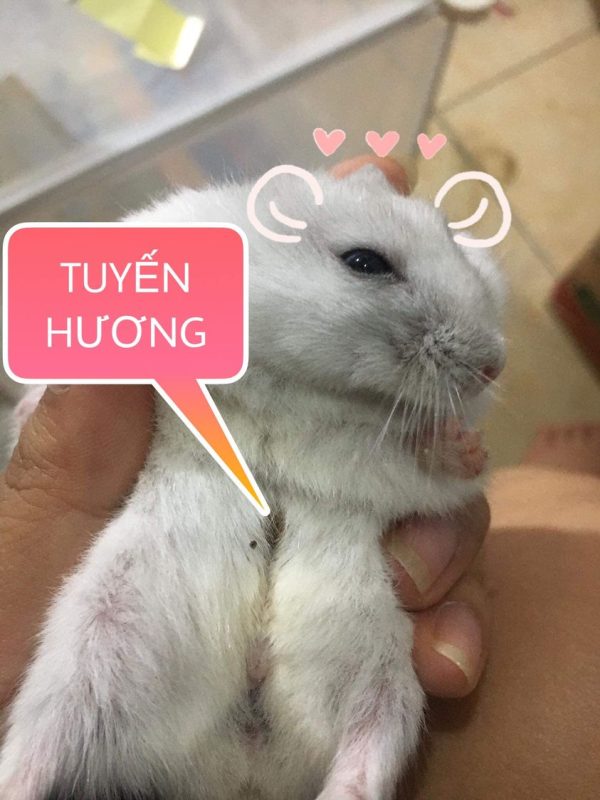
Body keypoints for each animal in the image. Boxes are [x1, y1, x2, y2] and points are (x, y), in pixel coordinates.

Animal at [0, 163, 505, 800]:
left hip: (385, 684)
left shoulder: (379, 473)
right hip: (88, 654)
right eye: (365, 262)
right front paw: (33, 402)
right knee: (38, 749)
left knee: (365, 755)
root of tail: (238, 773)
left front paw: (466, 445)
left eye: (456, 243)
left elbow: (430, 475)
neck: (293, 382)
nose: (495, 366)